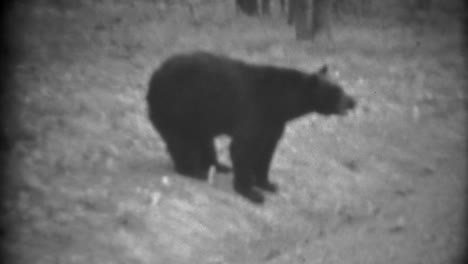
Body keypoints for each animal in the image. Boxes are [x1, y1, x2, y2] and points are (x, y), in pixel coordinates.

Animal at [146, 51, 354, 204]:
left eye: (341, 88)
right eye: (337, 91)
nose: (353, 101)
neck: (280, 102)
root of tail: (154, 76)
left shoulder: (273, 123)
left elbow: (266, 150)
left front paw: (267, 183)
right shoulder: (254, 111)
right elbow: (242, 147)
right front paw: (250, 191)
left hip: (197, 114)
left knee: (203, 139)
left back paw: (218, 165)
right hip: (175, 107)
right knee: (181, 143)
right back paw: (196, 171)